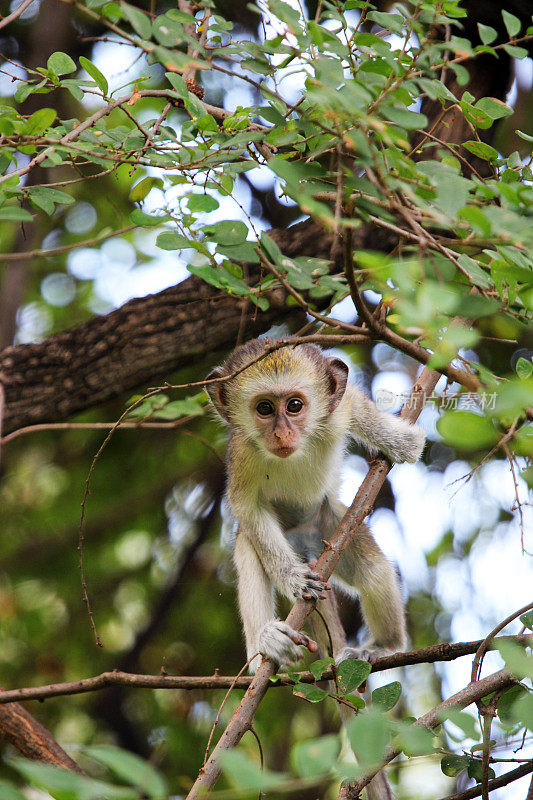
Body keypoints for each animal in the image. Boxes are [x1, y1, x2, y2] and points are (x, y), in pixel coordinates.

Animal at [206, 338, 426, 668]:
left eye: (294, 405)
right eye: (264, 408)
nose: (282, 434)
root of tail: (305, 542)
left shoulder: (338, 410)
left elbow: (360, 408)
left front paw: (398, 440)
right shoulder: (242, 452)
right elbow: (248, 509)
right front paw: (292, 578)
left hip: (332, 529)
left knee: (374, 572)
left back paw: (384, 647)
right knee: (250, 553)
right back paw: (264, 645)